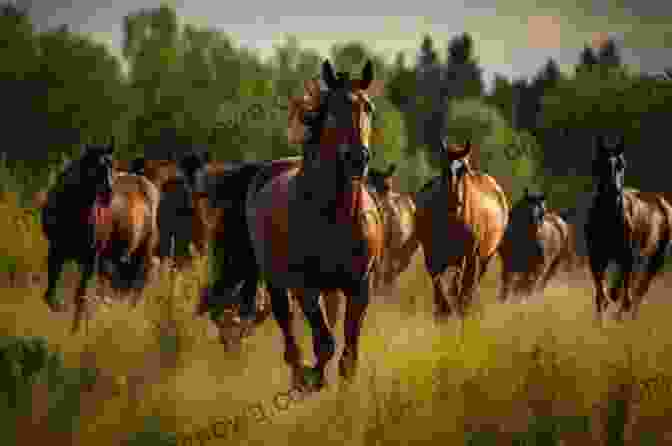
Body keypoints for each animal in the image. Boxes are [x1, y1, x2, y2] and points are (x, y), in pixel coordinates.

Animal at [40, 141, 160, 332]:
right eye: (95, 166)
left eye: (113, 166)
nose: (108, 194)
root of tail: (148, 184)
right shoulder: (56, 251)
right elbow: (50, 295)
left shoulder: (90, 259)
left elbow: (80, 297)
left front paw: (76, 330)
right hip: (113, 259)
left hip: (142, 255)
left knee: (135, 288)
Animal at [243, 60, 386, 390]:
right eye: (333, 111)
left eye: (369, 108)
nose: (358, 158)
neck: (337, 216)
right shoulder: (304, 287)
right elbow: (325, 344)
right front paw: (312, 378)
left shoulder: (360, 287)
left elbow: (348, 354)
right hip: (277, 283)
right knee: (288, 329)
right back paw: (298, 374)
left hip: (330, 289)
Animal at [414, 139, 510, 332]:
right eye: (443, 167)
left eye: (464, 169)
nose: (454, 202)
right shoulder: (432, 254)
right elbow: (439, 284)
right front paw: (443, 313)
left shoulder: (470, 255)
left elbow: (463, 286)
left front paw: (457, 312)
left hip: (482, 257)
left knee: (470, 283)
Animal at [584, 134, 672, 322]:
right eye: (599, 163)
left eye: (621, 165)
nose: (614, 191)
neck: (609, 217)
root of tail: (663, 203)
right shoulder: (596, 256)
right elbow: (601, 291)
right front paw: (600, 319)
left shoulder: (628, 256)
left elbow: (623, 293)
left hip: (655, 258)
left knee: (639, 290)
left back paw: (628, 317)